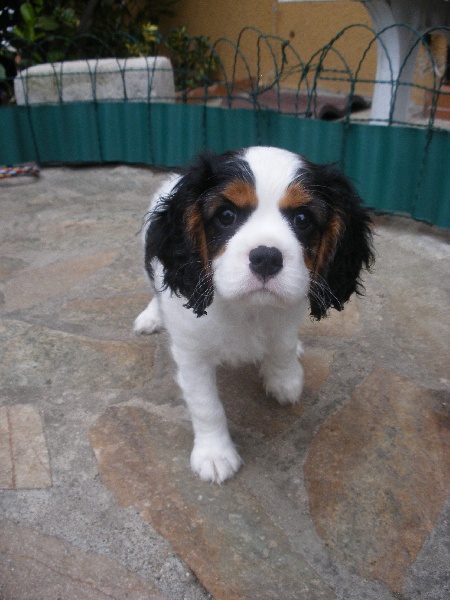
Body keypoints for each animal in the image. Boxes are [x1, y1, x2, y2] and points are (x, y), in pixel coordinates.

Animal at [134, 146, 374, 483]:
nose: (266, 258)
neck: (249, 309)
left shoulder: (287, 315)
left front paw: (284, 378)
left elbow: (282, 345)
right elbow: (206, 405)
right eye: (226, 216)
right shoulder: (192, 353)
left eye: (302, 219)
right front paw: (214, 454)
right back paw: (151, 317)